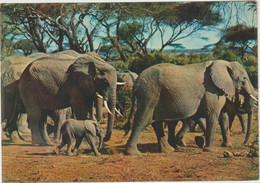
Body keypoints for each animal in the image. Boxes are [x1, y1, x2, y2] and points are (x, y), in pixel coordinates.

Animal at [125, 60, 256, 154]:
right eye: (244, 79)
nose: (244, 143)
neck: (225, 64)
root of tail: (136, 82)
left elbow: (222, 116)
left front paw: (227, 146)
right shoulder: (211, 89)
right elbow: (213, 113)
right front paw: (211, 150)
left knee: (155, 121)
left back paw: (169, 150)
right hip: (149, 93)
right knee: (142, 119)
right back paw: (134, 153)